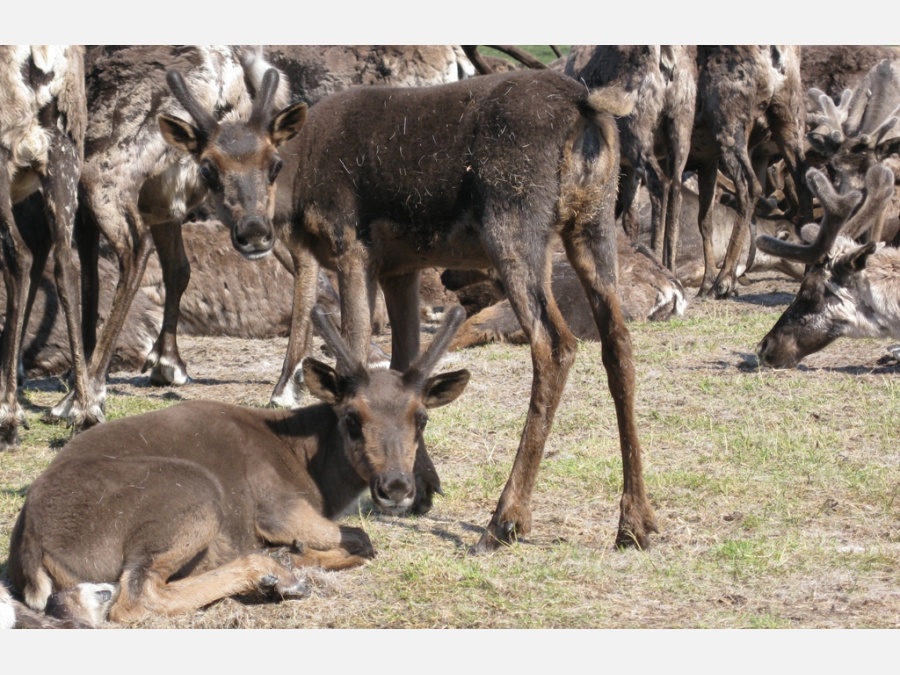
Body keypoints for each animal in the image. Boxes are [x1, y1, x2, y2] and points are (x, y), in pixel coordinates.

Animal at [7, 304, 468, 624]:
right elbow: (361, 538)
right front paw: (297, 554)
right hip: (193, 494)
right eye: (352, 418)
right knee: (136, 595)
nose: (396, 487)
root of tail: (30, 544)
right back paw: (273, 572)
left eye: (421, 418)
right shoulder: (278, 506)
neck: (314, 471)